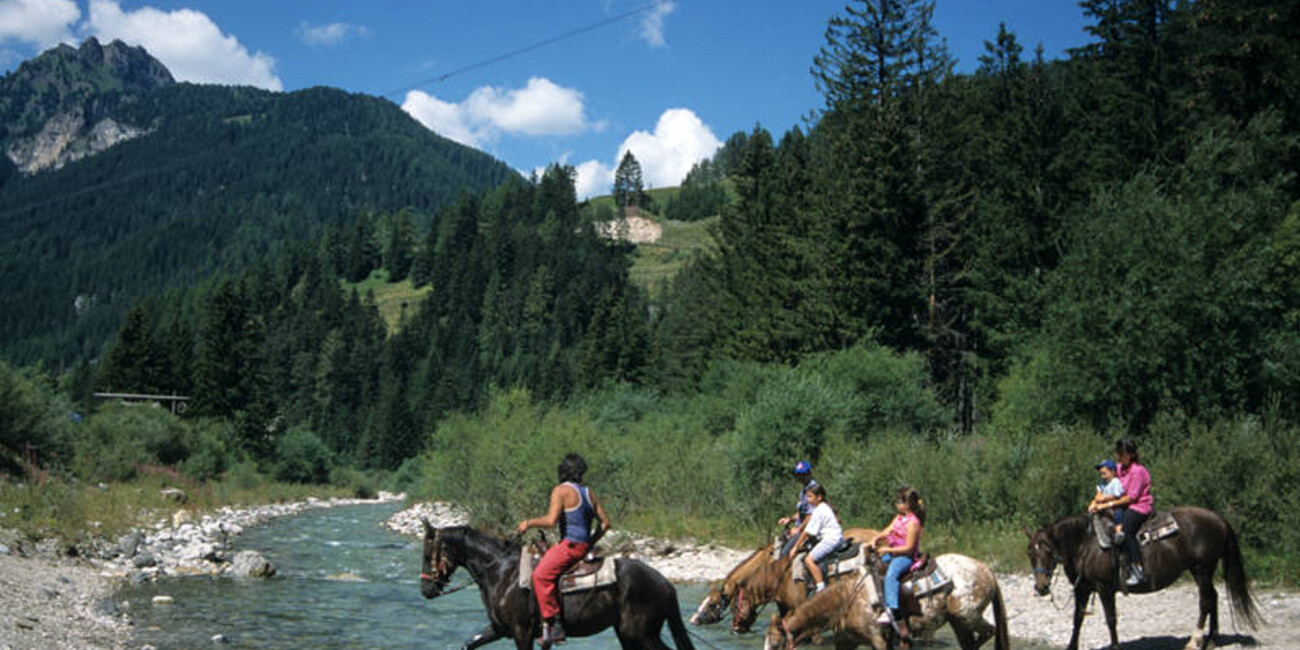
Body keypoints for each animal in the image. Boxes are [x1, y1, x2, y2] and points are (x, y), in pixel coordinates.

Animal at [421, 522, 696, 650]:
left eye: (427, 554)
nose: (426, 590)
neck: (501, 572)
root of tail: (664, 583)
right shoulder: (499, 629)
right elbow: (469, 643)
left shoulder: (521, 632)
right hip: (628, 634)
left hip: (642, 633)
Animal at [1024, 506, 1258, 650]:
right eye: (1030, 553)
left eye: (1047, 550)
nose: (1041, 587)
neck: (1086, 545)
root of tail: (1218, 518)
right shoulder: (1083, 588)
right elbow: (1077, 619)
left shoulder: (1104, 588)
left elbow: (1111, 619)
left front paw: (1115, 646)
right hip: (1203, 570)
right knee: (1214, 597)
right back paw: (1211, 640)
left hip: (1201, 568)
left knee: (1206, 601)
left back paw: (1194, 641)